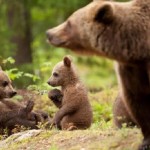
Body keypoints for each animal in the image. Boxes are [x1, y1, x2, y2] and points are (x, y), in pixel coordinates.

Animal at [46, 0, 150, 149]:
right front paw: (53, 94)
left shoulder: (75, 92)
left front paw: (54, 119)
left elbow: (69, 105)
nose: (49, 81)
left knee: (70, 121)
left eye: (55, 73)